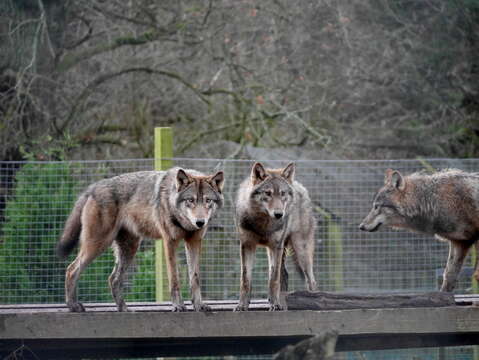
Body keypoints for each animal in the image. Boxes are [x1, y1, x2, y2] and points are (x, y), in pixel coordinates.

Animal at [56, 168, 225, 312]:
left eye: (208, 201)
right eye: (190, 200)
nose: (200, 222)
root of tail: (93, 187)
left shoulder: (194, 241)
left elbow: (195, 278)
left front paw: (199, 305)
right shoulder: (170, 241)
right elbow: (174, 278)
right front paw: (178, 306)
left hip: (130, 248)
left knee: (113, 279)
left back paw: (124, 309)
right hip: (98, 244)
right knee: (71, 269)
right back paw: (73, 306)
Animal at [234, 162, 316, 310]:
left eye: (282, 193)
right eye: (268, 193)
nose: (279, 214)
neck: (263, 223)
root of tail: (299, 185)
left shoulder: (276, 246)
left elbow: (274, 279)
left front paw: (276, 305)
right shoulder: (247, 245)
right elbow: (245, 279)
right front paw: (242, 305)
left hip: (301, 251)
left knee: (310, 280)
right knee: (284, 275)